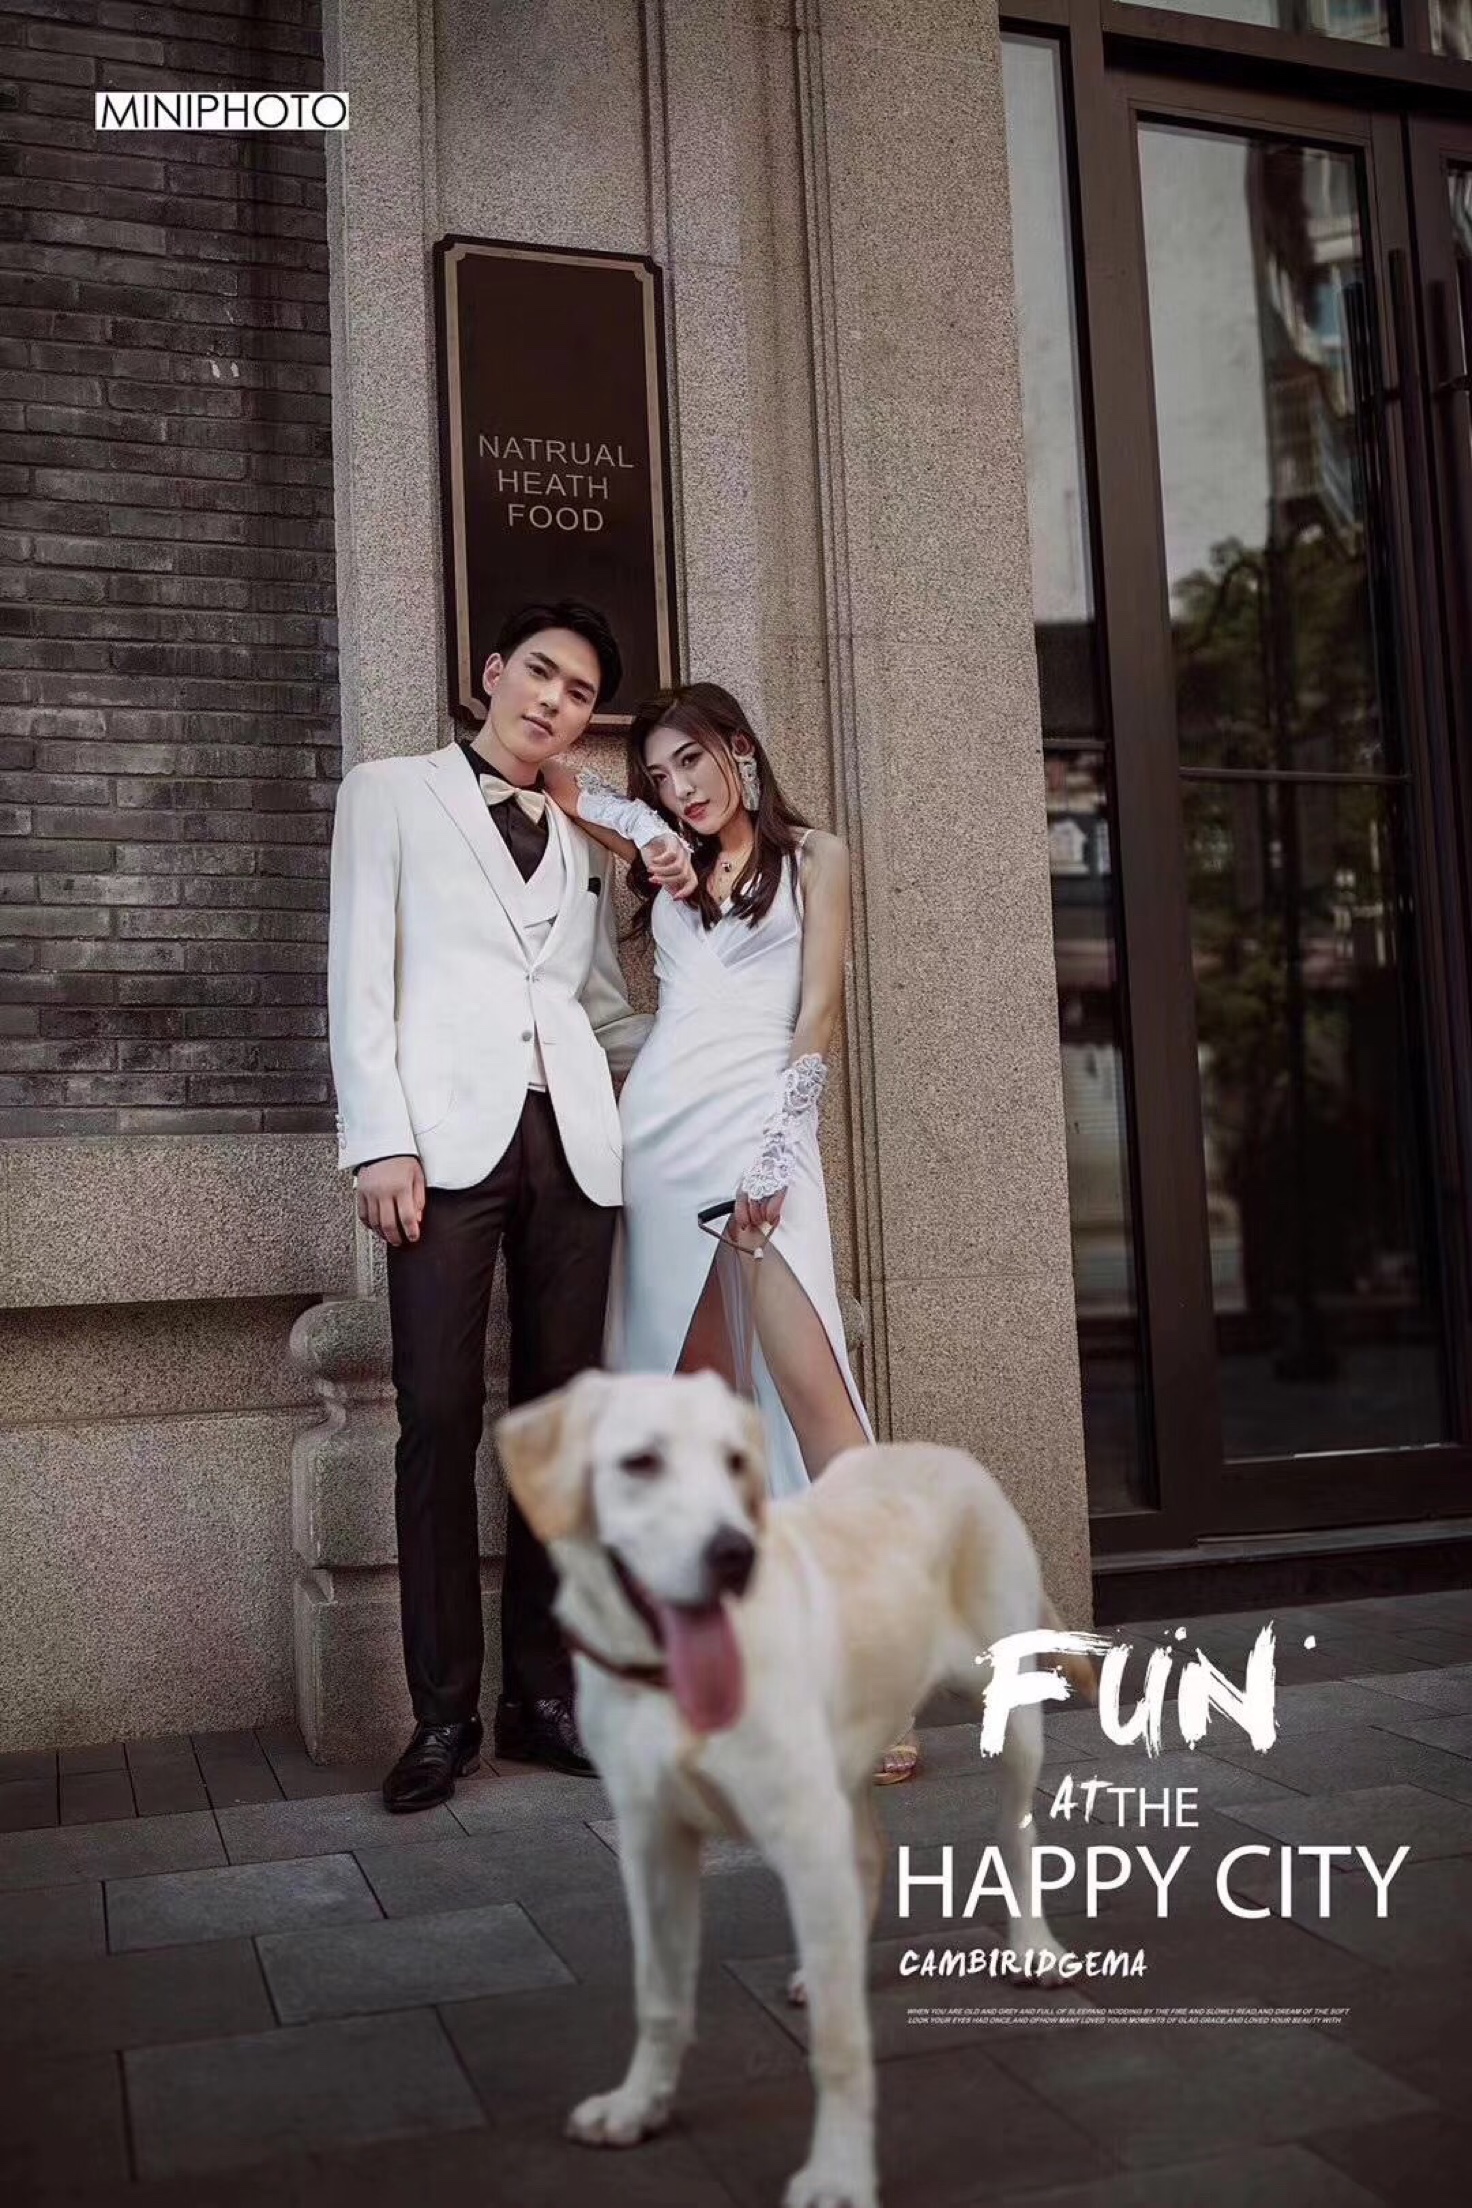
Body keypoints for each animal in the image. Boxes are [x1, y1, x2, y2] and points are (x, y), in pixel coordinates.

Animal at [496, 1369, 1096, 2208]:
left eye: (735, 1462)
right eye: (641, 1461)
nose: (732, 1554)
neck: (671, 1682)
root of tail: (946, 1453)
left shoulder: (802, 1836)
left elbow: (841, 2046)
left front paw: (839, 2174)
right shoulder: (652, 1843)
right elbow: (658, 1994)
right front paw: (638, 2103)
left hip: (1008, 1716)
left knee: (1015, 1831)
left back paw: (1033, 1948)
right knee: (870, 1855)